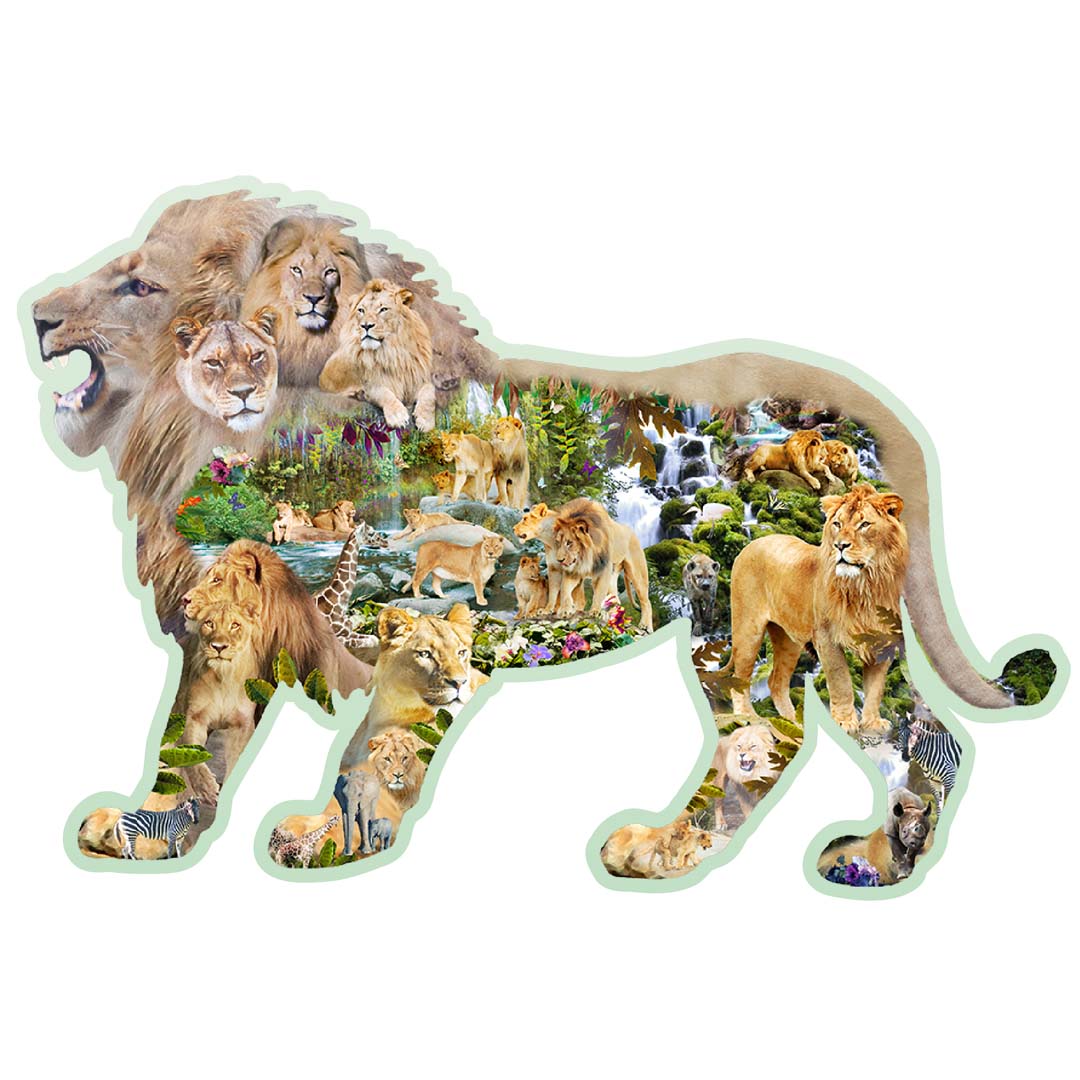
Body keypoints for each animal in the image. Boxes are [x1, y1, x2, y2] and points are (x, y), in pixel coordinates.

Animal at [318, 279, 437, 431]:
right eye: (361, 310)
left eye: (383, 309)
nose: (366, 326)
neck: (393, 351)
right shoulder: (371, 385)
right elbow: (384, 393)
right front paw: (398, 416)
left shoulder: (418, 380)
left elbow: (429, 392)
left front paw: (425, 421)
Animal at [551, 498, 653, 630]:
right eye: (558, 543)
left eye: (569, 543)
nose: (559, 560)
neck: (584, 558)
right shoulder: (573, 571)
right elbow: (565, 590)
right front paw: (565, 610)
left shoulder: (603, 570)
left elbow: (599, 593)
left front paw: (594, 611)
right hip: (613, 575)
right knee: (616, 600)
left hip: (637, 573)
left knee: (646, 602)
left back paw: (646, 626)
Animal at [721, 484, 908, 735]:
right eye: (837, 524)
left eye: (864, 524)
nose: (840, 546)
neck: (866, 585)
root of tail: (751, 543)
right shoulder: (827, 638)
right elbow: (841, 681)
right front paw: (845, 722)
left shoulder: (882, 640)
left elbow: (876, 687)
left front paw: (872, 723)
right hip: (748, 630)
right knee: (739, 679)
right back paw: (748, 717)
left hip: (788, 640)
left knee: (776, 682)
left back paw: (794, 723)